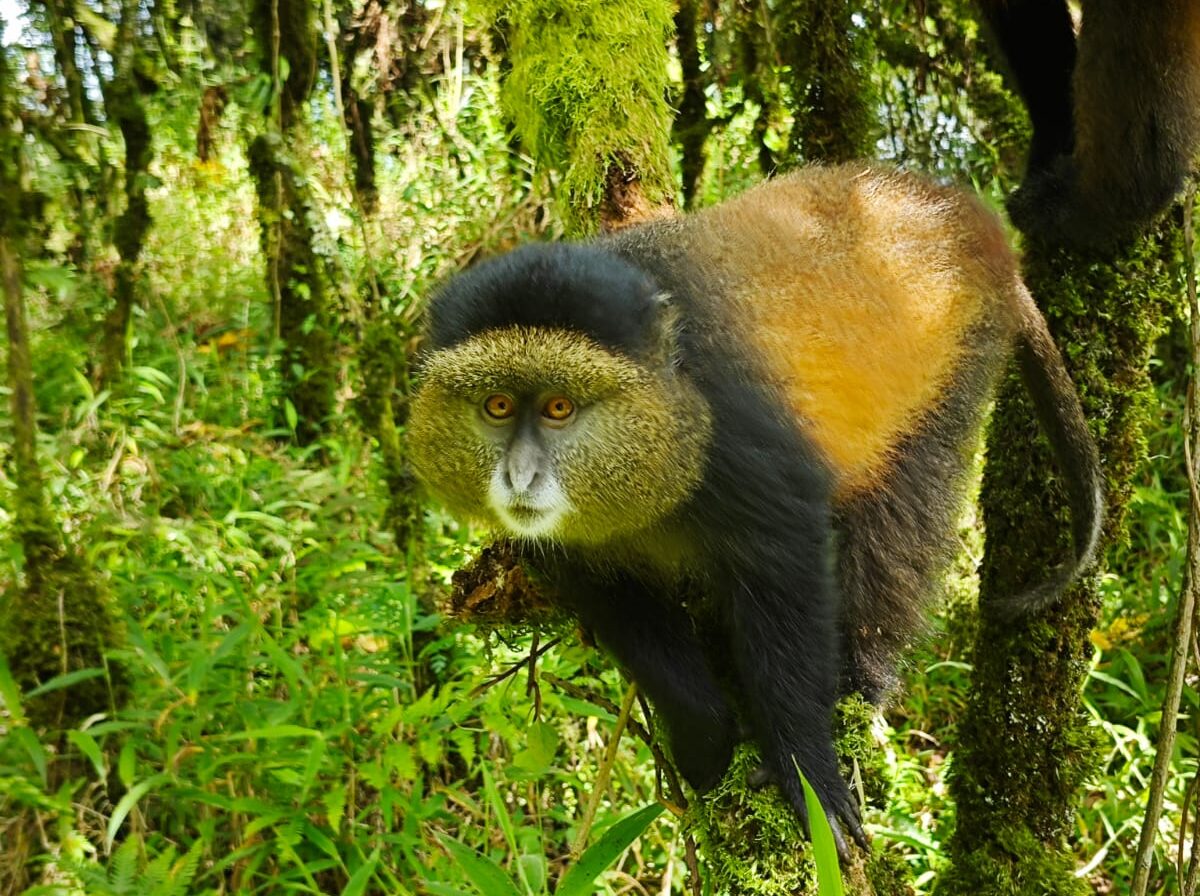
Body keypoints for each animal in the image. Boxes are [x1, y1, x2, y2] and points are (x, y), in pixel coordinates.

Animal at [407, 163, 1104, 857]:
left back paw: (865, 680)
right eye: (497, 406)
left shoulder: (735, 432)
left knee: (901, 524)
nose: (519, 477)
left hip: (957, 366)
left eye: (559, 408)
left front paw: (807, 769)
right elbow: (622, 606)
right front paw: (704, 739)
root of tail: (962, 214)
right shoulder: (578, 555)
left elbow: (787, 562)